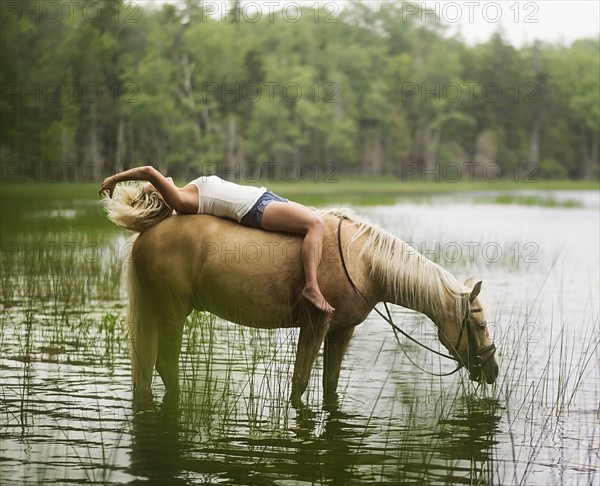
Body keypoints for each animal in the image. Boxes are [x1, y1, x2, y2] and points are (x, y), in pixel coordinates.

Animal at [124, 210, 500, 406]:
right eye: (480, 326)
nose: (493, 371)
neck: (364, 263)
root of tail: (146, 235)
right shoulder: (315, 325)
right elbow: (301, 382)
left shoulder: (341, 332)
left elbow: (329, 384)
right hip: (171, 312)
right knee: (166, 364)